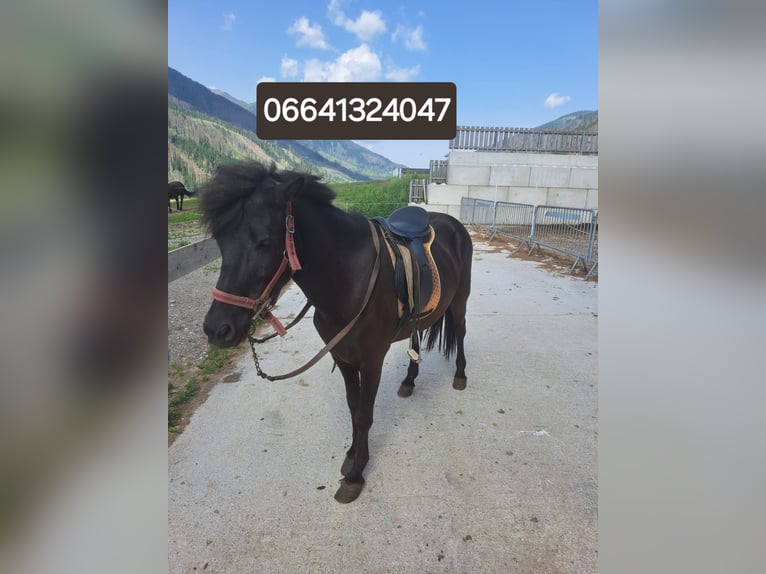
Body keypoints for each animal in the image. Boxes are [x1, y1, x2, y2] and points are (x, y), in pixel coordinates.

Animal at [200, 161, 473, 503]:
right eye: (221, 242)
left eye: (264, 242)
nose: (216, 329)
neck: (348, 280)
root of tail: (454, 224)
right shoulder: (343, 357)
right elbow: (353, 408)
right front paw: (353, 455)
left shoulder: (371, 361)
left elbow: (364, 415)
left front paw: (355, 476)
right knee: (417, 338)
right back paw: (409, 380)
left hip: (460, 301)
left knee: (460, 334)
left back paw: (460, 376)